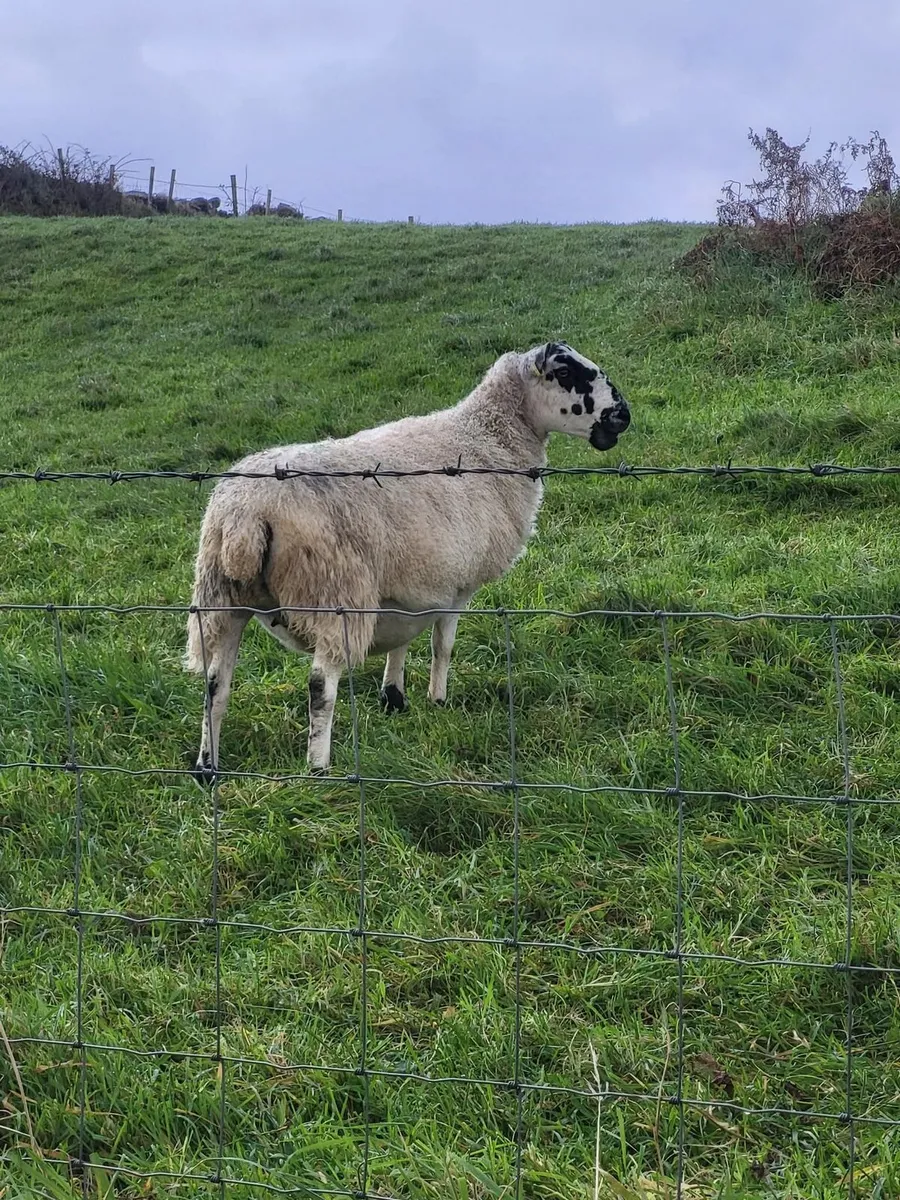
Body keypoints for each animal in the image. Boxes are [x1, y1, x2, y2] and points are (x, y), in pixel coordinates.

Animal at [184, 341, 631, 779]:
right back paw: (318, 768)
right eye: (566, 372)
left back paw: (207, 766)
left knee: (215, 684)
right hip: (332, 594)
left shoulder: (410, 583)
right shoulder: (458, 585)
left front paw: (394, 698)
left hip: (222, 599)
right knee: (319, 685)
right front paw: (438, 701)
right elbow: (441, 646)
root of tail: (247, 515)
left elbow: (401, 641)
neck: (488, 437)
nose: (622, 416)